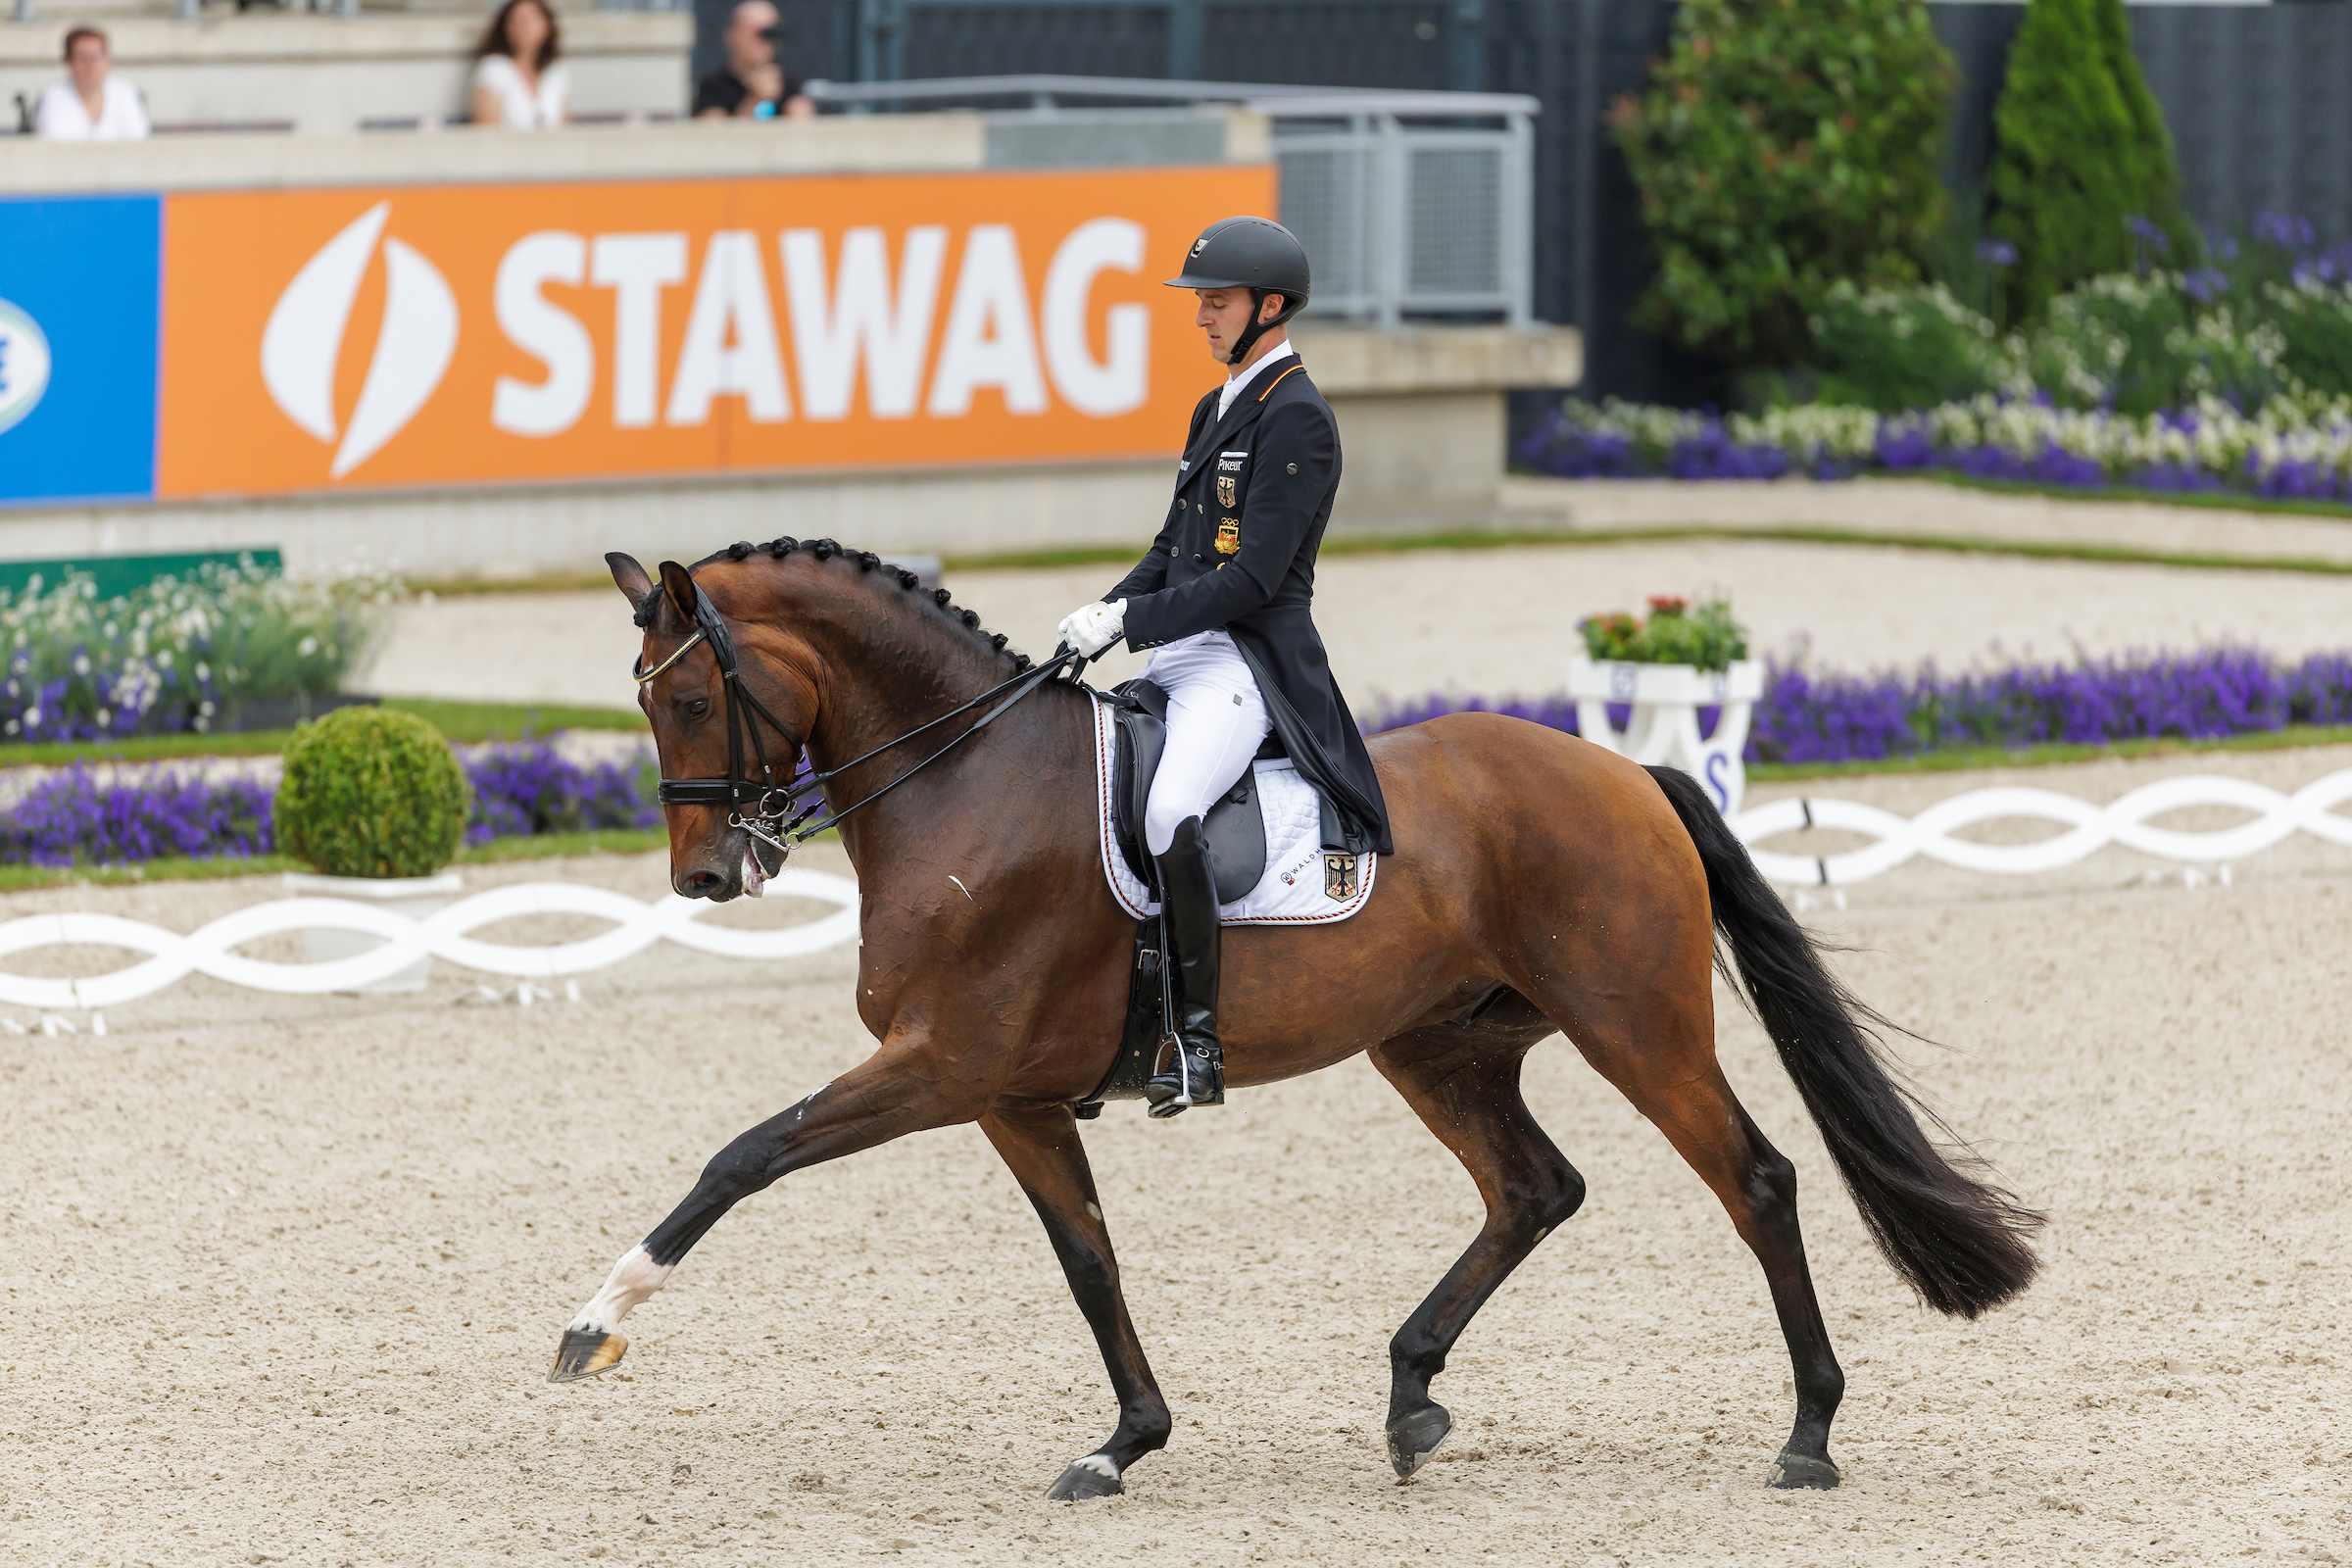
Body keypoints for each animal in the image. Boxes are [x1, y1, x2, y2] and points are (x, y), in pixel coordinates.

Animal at [550, 535, 2041, 1494]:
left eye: (696, 697)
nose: (705, 875)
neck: (964, 779)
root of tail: (1624, 770)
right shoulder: (1009, 1096)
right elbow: (1089, 1262)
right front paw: (1127, 1440)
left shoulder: (938, 1067)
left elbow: (743, 1154)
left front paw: (595, 1322)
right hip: (1437, 1043)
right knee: (1534, 1189)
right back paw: (1412, 1396)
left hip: (1637, 1024)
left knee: (1756, 1180)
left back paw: (1809, 1436)